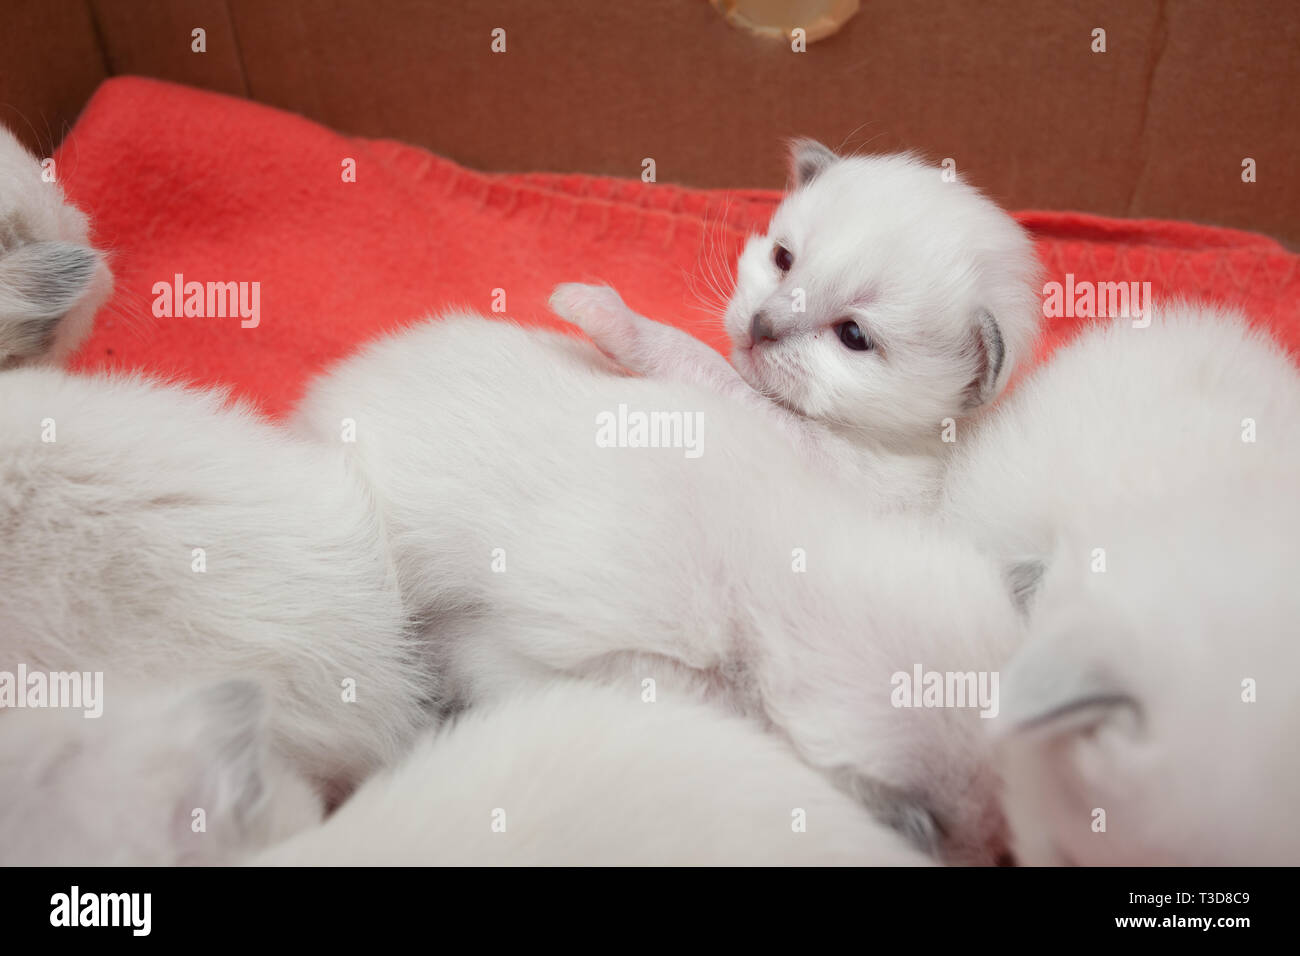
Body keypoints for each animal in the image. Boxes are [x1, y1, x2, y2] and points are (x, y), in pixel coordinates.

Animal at [543, 141, 1040, 504]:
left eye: (853, 336)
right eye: (783, 259)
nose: (760, 326)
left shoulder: (849, 469)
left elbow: (707, 365)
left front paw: (605, 312)